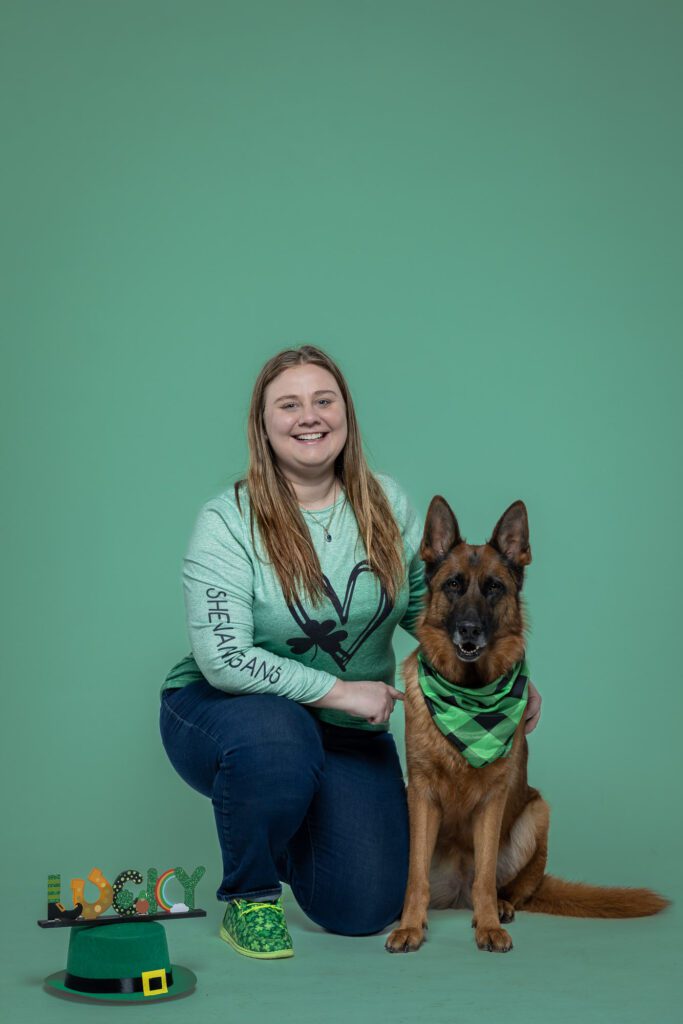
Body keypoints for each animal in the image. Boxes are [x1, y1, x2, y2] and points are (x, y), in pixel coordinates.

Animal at [387, 495, 671, 950]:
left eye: (494, 588)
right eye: (453, 585)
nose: (469, 630)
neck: (468, 696)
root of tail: (456, 894)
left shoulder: (494, 800)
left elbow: (486, 874)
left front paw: (488, 926)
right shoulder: (422, 794)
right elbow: (415, 877)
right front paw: (410, 926)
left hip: (538, 812)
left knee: (510, 887)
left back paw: (500, 908)